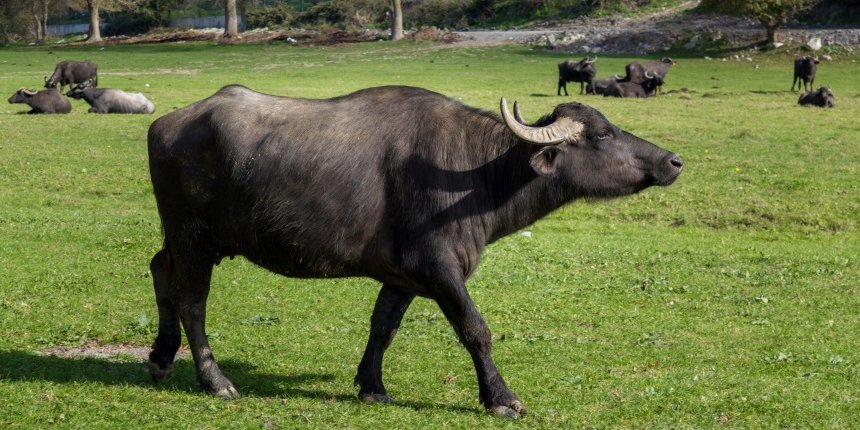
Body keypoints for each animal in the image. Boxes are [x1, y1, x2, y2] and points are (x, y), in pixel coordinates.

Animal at [149, 83, 684, 416]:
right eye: (603, 135)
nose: (673, 161)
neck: (477, 173)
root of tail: (166, 124)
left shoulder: (400, 276)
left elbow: (383, 327)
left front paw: (372, 386)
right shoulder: (440, 269)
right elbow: (475, 330)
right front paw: (500, 397)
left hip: (181, 239)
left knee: (160, 272)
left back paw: (160, 356)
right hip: (193, 238)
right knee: (192, 301)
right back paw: (215, 381)